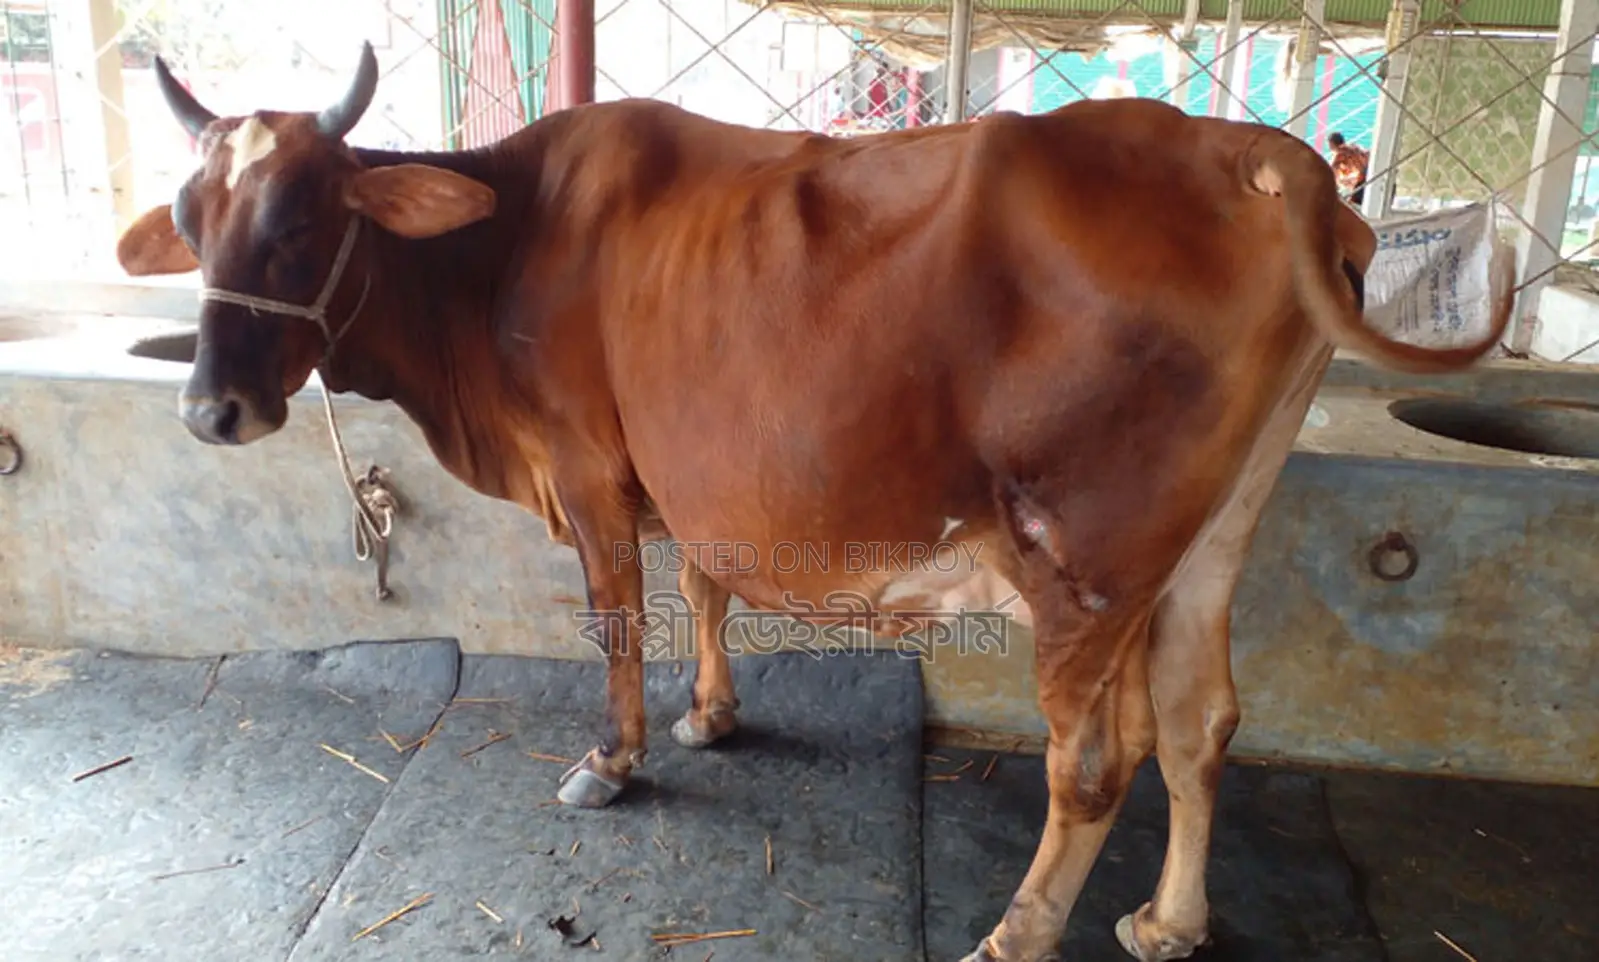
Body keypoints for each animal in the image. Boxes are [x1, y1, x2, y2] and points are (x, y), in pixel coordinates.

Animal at [114, 43, 1512, 962]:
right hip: (1213, 532)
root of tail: (1252, 148)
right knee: (1201, 717)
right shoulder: (682, 473)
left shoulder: (585, 467)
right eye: (191, 216)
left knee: (1095, 756)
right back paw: (1170, 920)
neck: (492, 257)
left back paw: (1015, 934)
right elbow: (701, 584)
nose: (208, 410)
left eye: (303, 221)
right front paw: (712, 714)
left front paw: (612, 757)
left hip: (1087, 554)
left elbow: (619, 618)